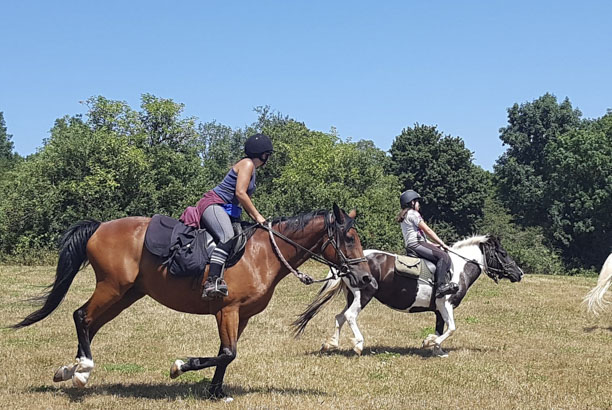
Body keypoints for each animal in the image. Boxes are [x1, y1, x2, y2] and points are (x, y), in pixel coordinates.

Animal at [10, 203, 372, 398]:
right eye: (349, 238)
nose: (367, 278)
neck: (264, 254)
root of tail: (100, 227)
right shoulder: (227, 310)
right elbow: (226, 353)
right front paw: (181, 366)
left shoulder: (240, 315)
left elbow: (225, 354)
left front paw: (215, 392)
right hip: (112, 287)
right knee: (81, 316)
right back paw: (82, 369)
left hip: (126, 295)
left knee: (90, 323)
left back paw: (71, 371)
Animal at [294, 235, 524, 358]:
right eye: (503, 254)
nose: (520, 273)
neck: (458, 269)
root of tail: (347, 263)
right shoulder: (446, 304)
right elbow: (451, 328)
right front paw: (429, 343)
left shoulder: (439, 310)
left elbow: (441, 328)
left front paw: (437, 349)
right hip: (363, 295)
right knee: (350, 316)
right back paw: (358, 344)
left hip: (352, 296)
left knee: (340, 317)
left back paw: (331, 344)